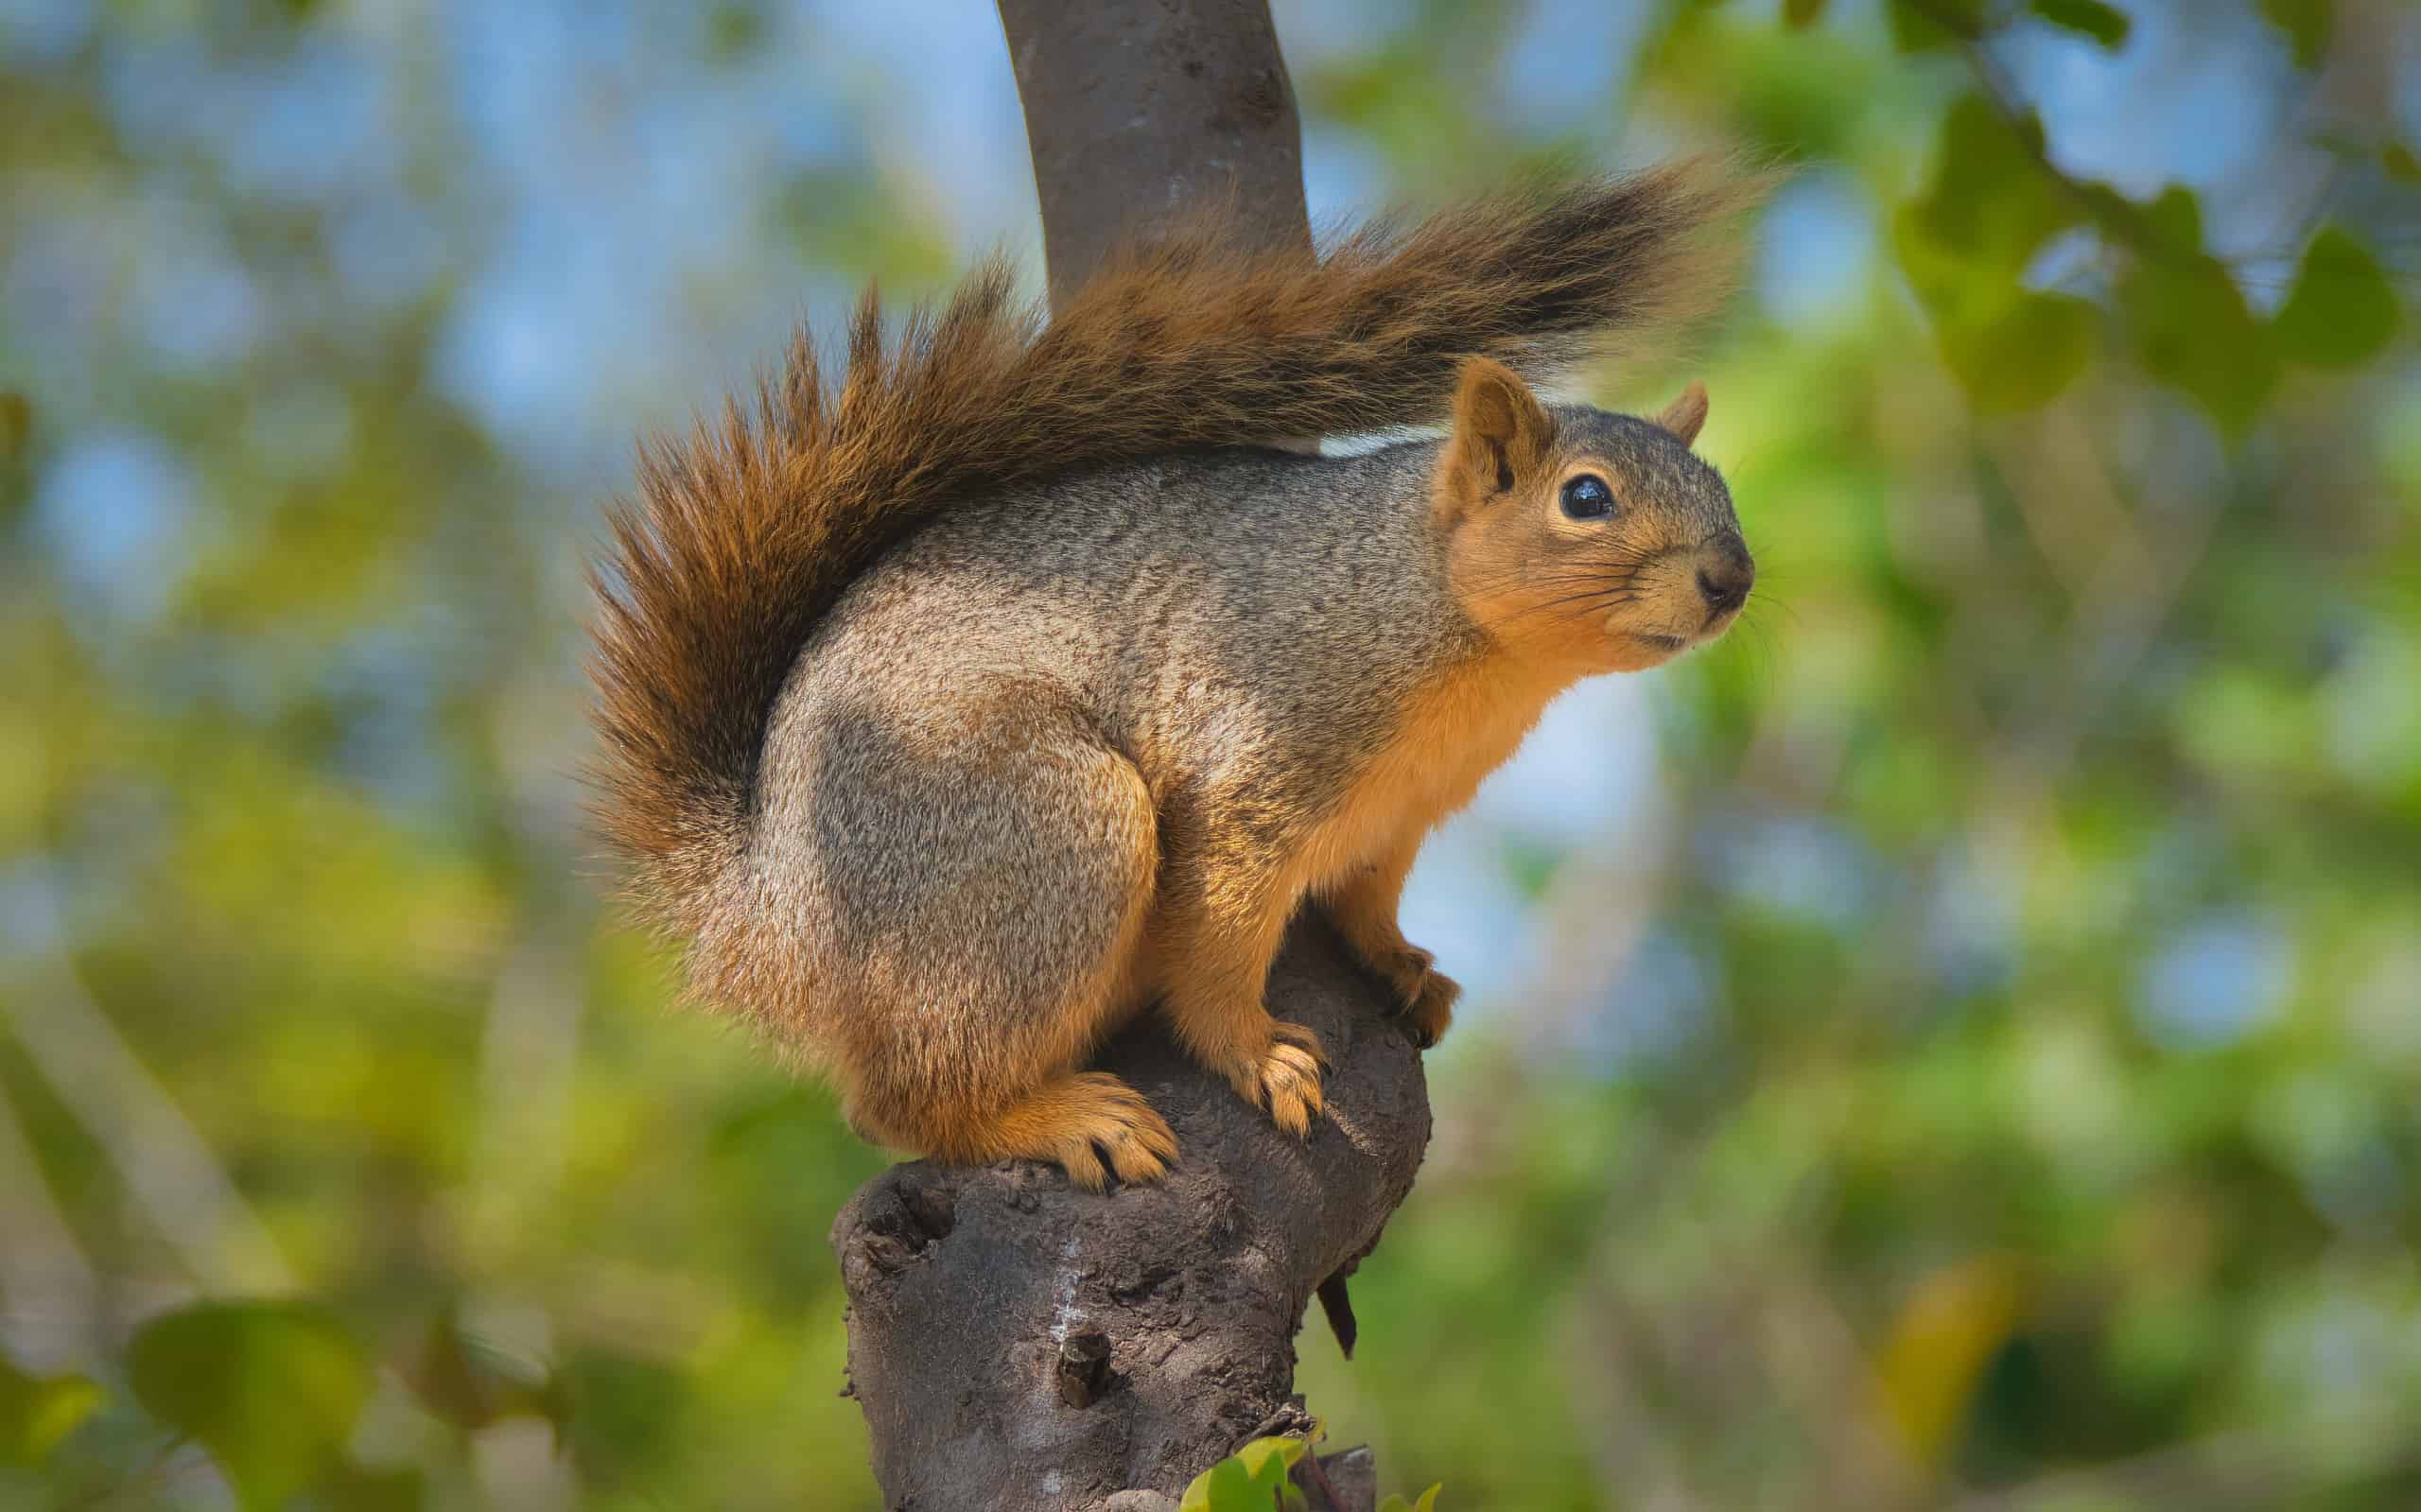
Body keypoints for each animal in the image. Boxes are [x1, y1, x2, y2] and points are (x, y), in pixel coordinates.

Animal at [585, 159, 1762, 1185]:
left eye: (1719, 483)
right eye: (1585, 498)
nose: (1733, 577)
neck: (1445, 624)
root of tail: (767, 920)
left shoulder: (1403, 809)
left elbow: (1368, 895)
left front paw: (1400, 964)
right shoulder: (1255, 762)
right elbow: (1216, 933)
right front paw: (1256, 1052)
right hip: (1037, 828)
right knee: (901, 1104)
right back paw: (1060, 1120)